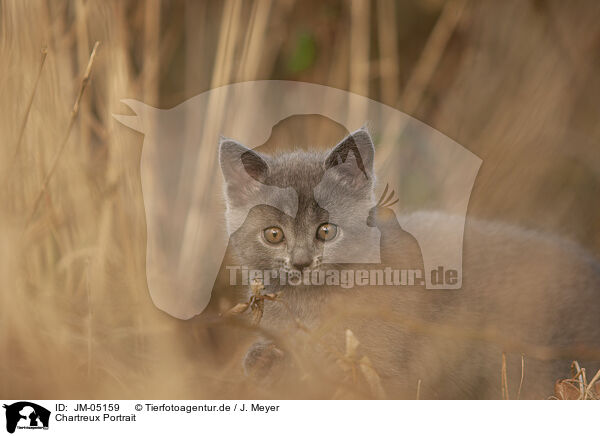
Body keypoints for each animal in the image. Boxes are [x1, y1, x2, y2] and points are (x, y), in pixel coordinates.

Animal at [219, 127, 600, 396]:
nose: (301, 263)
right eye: (273, 234)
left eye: (326, 231)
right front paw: (263, 360)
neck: (308, 305)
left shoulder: (384, 368)